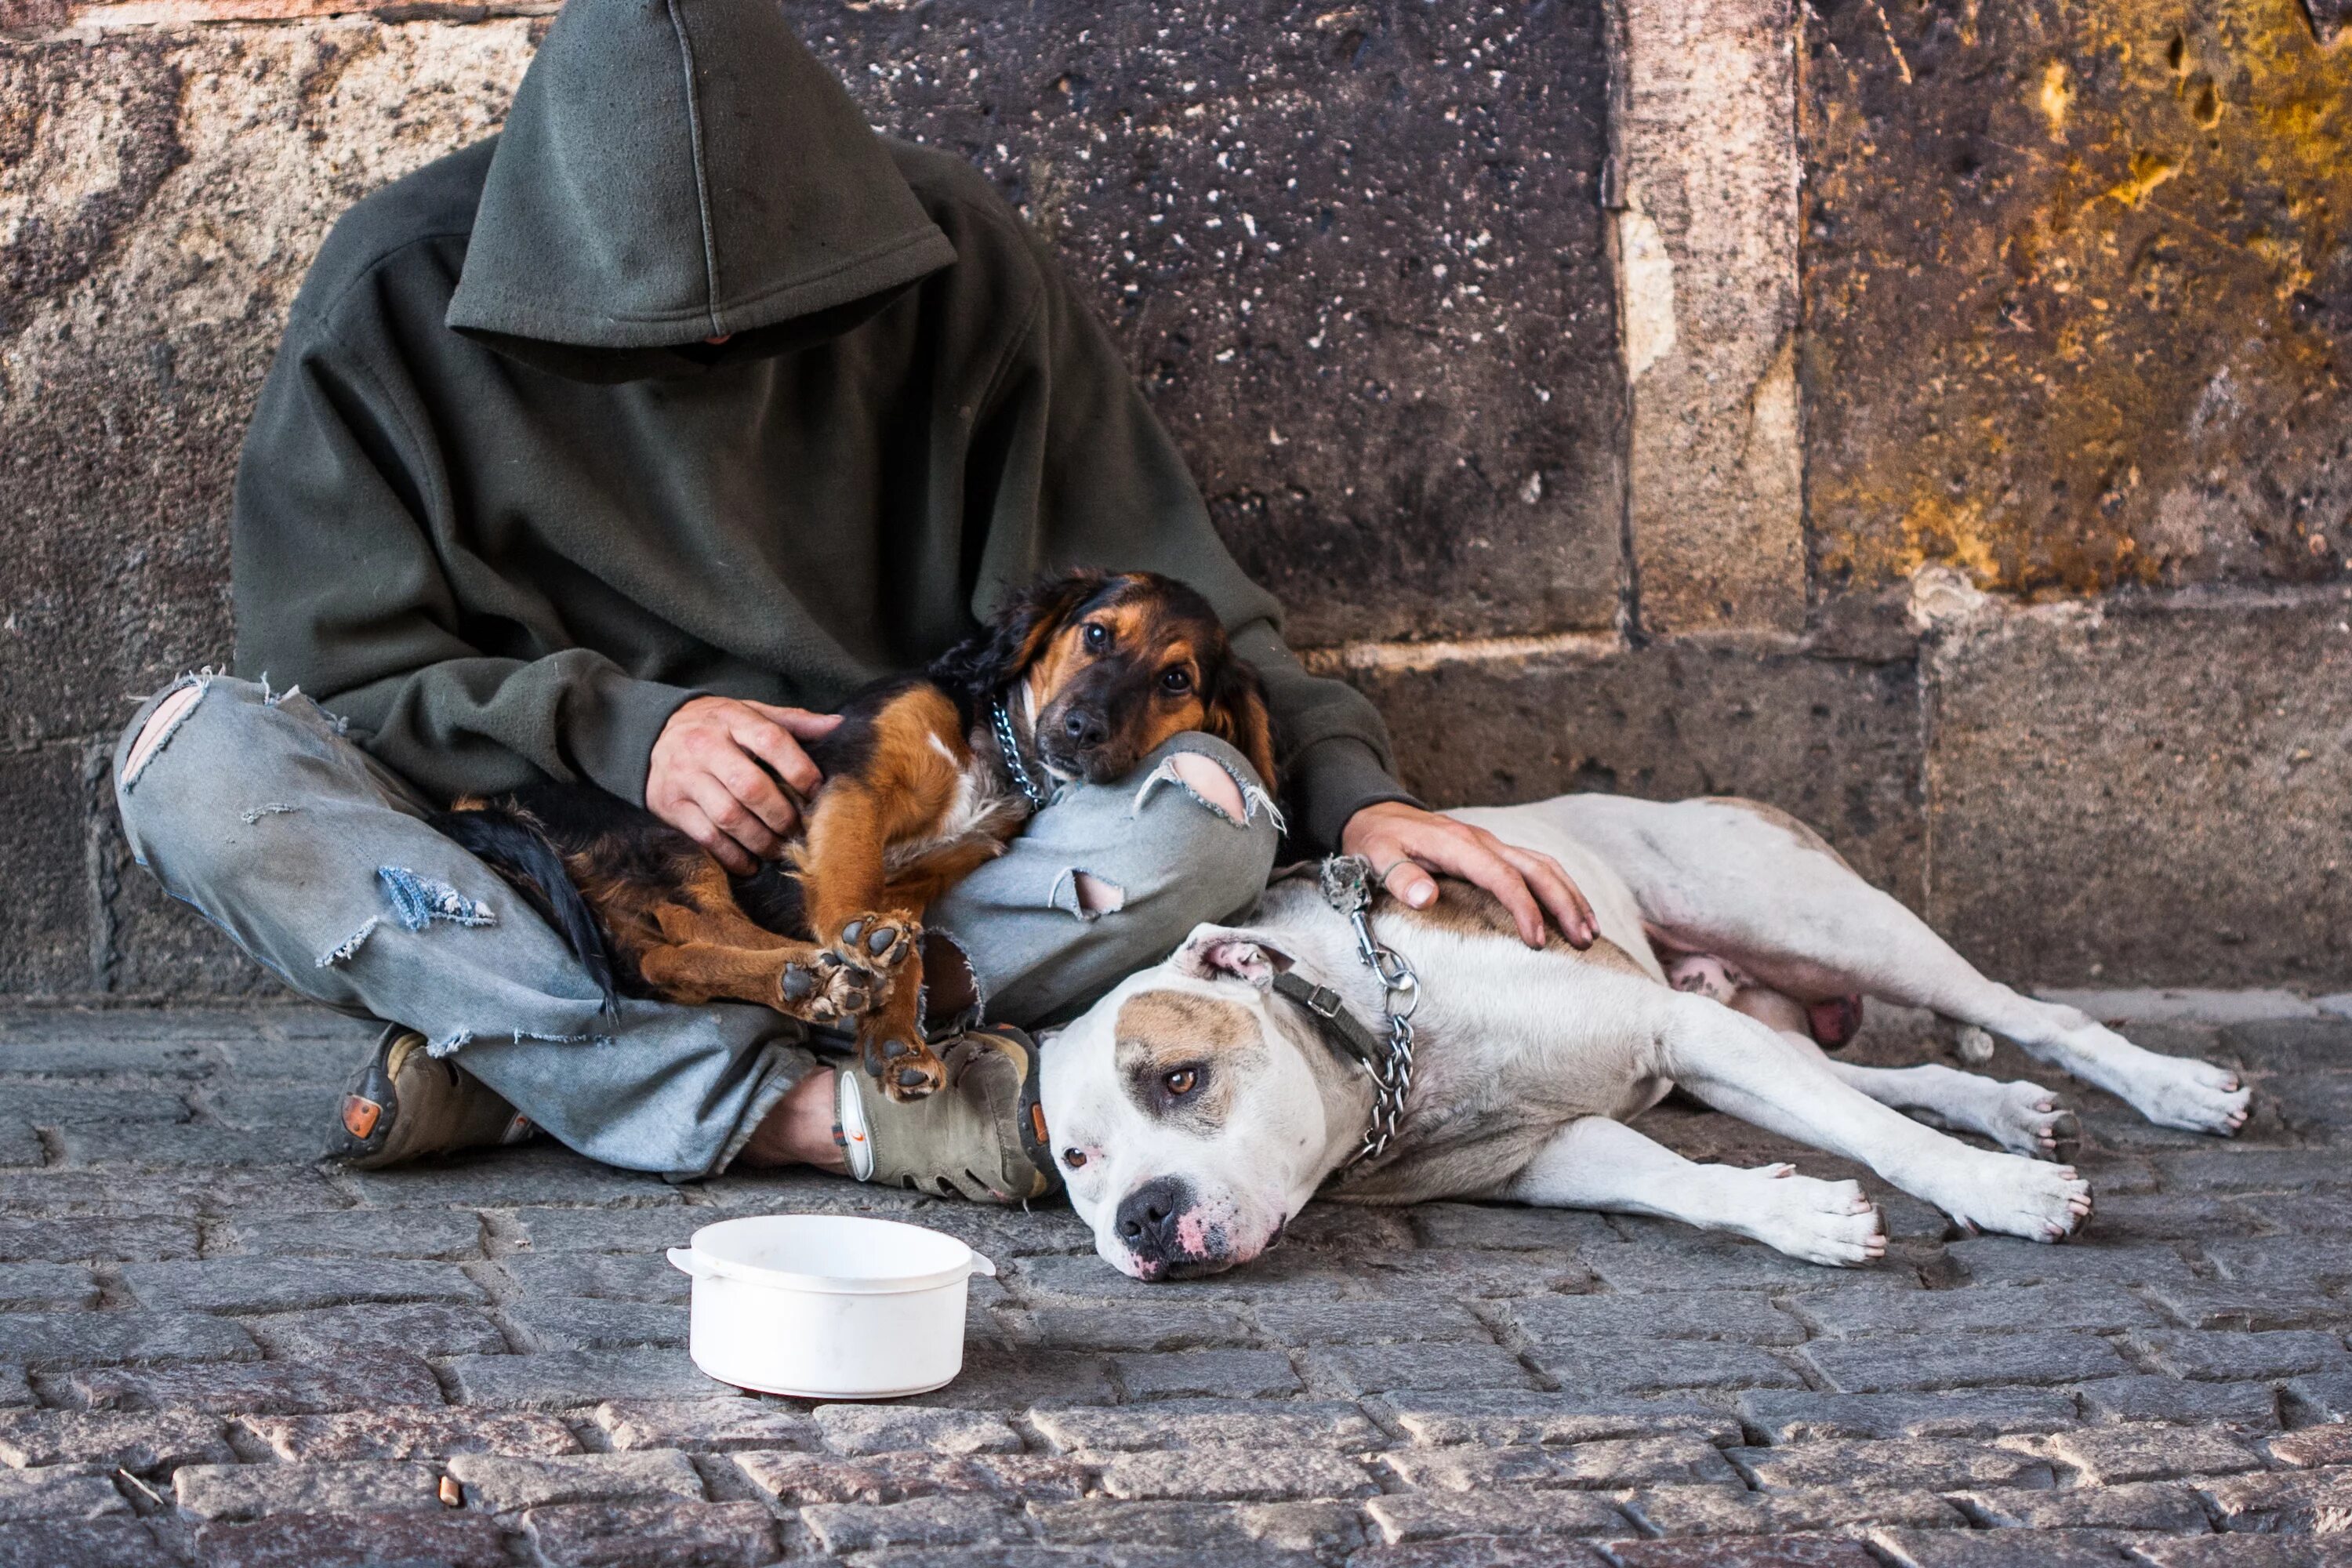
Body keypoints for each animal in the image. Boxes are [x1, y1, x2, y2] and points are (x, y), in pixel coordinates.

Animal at [442, 573, 1289, 1105]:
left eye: (1176, 680)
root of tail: (479, 799)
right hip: (673, 839)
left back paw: (812, 984)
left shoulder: (936, 868)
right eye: (1097, 633)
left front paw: (896, 1040)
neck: (996, 750)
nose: (1082, 730)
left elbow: (905, 946)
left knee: (667, 959)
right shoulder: (855, 781)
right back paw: (809, 977)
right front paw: (860, 947)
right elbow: (852, 884)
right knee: (690, 930)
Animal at [1040, 789, 2249, 1279]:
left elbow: (1890, 1144)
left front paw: (1999, 1194)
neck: (1380, 1052)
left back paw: (2173, 1088)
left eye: (1182, 1079)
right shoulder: (1546, 1152)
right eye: (1079, 1162)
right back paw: (2002, 1108)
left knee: (2026, 1012)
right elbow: (1682, 1183)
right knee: (1882, 1077)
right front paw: (1798, 1213)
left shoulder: (1671, 1025)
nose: (1142, 1216)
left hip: (1826, 925)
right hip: (1744, 1031)